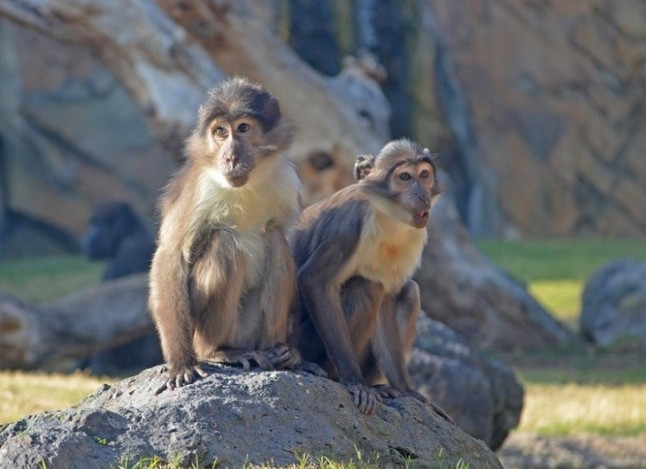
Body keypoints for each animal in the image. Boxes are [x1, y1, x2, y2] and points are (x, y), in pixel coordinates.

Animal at [149, 77, 303, 392]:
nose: (230, 157)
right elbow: (171, 255)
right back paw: (217, 352)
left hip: (251, 330)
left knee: (276, 240)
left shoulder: (287, 181)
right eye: (220, 132)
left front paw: (295, 351)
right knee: (224, 242)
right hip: (204, 330)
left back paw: (277, 351)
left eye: (243, 128)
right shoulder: (198, 186)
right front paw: (181, 364)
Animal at [291, 139, 448, 416]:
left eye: (424, 175)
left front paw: (404, 389)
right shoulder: (348, 223)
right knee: (365, 285)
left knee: (409, 291)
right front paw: (354, 381)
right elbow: (314, 281)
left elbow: (388, 299)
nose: (421, 196)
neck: (387, 214)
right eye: (405, 177)